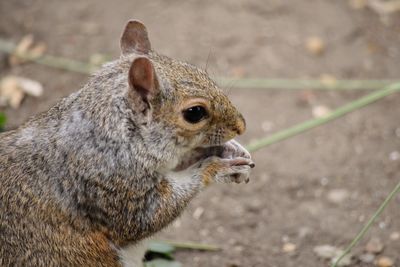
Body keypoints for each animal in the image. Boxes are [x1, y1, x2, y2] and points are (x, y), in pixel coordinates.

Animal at [0, 21, 255, 267]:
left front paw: (230, 149)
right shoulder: (111, 185)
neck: (114, 133)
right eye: (195, 113)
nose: (241, 126)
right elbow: (150, 216)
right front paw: (216, 167)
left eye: (201, 72)